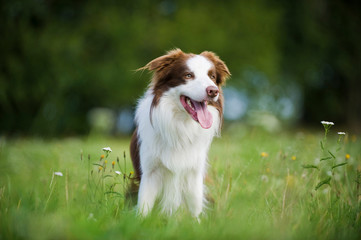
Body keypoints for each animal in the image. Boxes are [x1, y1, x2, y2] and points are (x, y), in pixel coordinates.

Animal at [131, 48, 229, 218]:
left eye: (212, 76)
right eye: (188, 75)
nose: (213, 91)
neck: (181, 124)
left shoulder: (194, 172)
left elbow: (195, 208)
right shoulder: (150, 173)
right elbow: (144, 206)